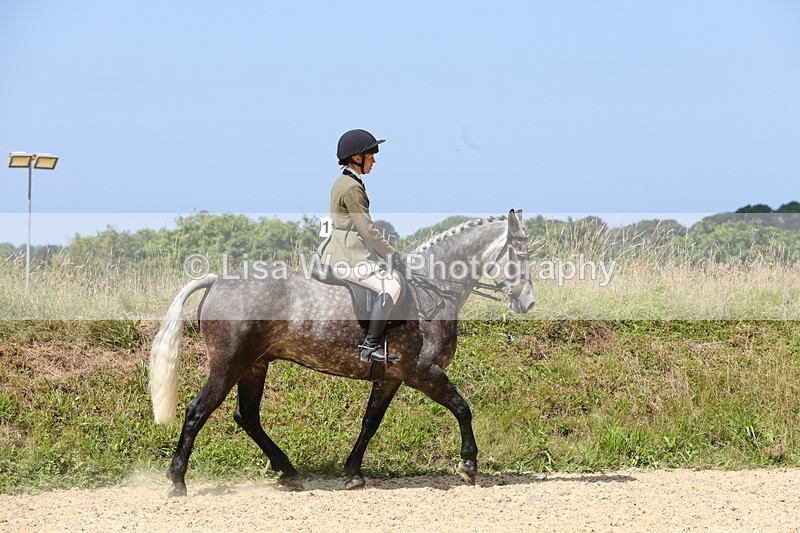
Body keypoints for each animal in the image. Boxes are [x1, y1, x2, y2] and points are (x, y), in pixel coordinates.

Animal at [149, 209, 535, 496]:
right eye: (520, 255)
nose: (528, 303)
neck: (433, 290)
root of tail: (217, 280)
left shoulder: (391, 378)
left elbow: (370, 422)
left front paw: (353, 474)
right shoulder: (424, 373)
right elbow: (462, 408)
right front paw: (468, 466)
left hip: (255, 365)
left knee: (247, 416)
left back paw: (288, 472)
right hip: (229, 365)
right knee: (198, 411)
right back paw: (178, 481)